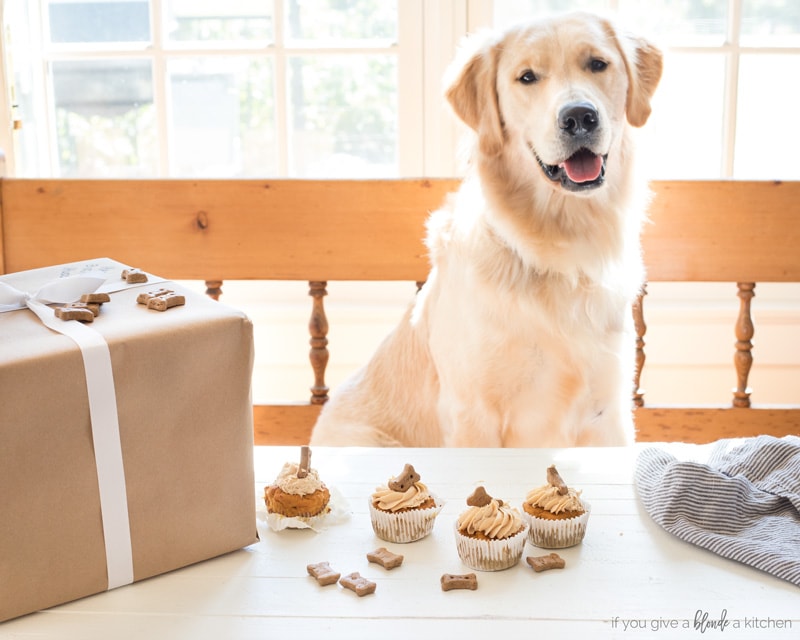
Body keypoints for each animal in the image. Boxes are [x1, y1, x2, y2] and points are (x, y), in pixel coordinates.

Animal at [310, 12, 664, 448]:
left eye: (597, 64)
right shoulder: (474, 414)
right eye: (527, 77)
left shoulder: (608, 410)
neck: (557, 244)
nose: (579, 117)